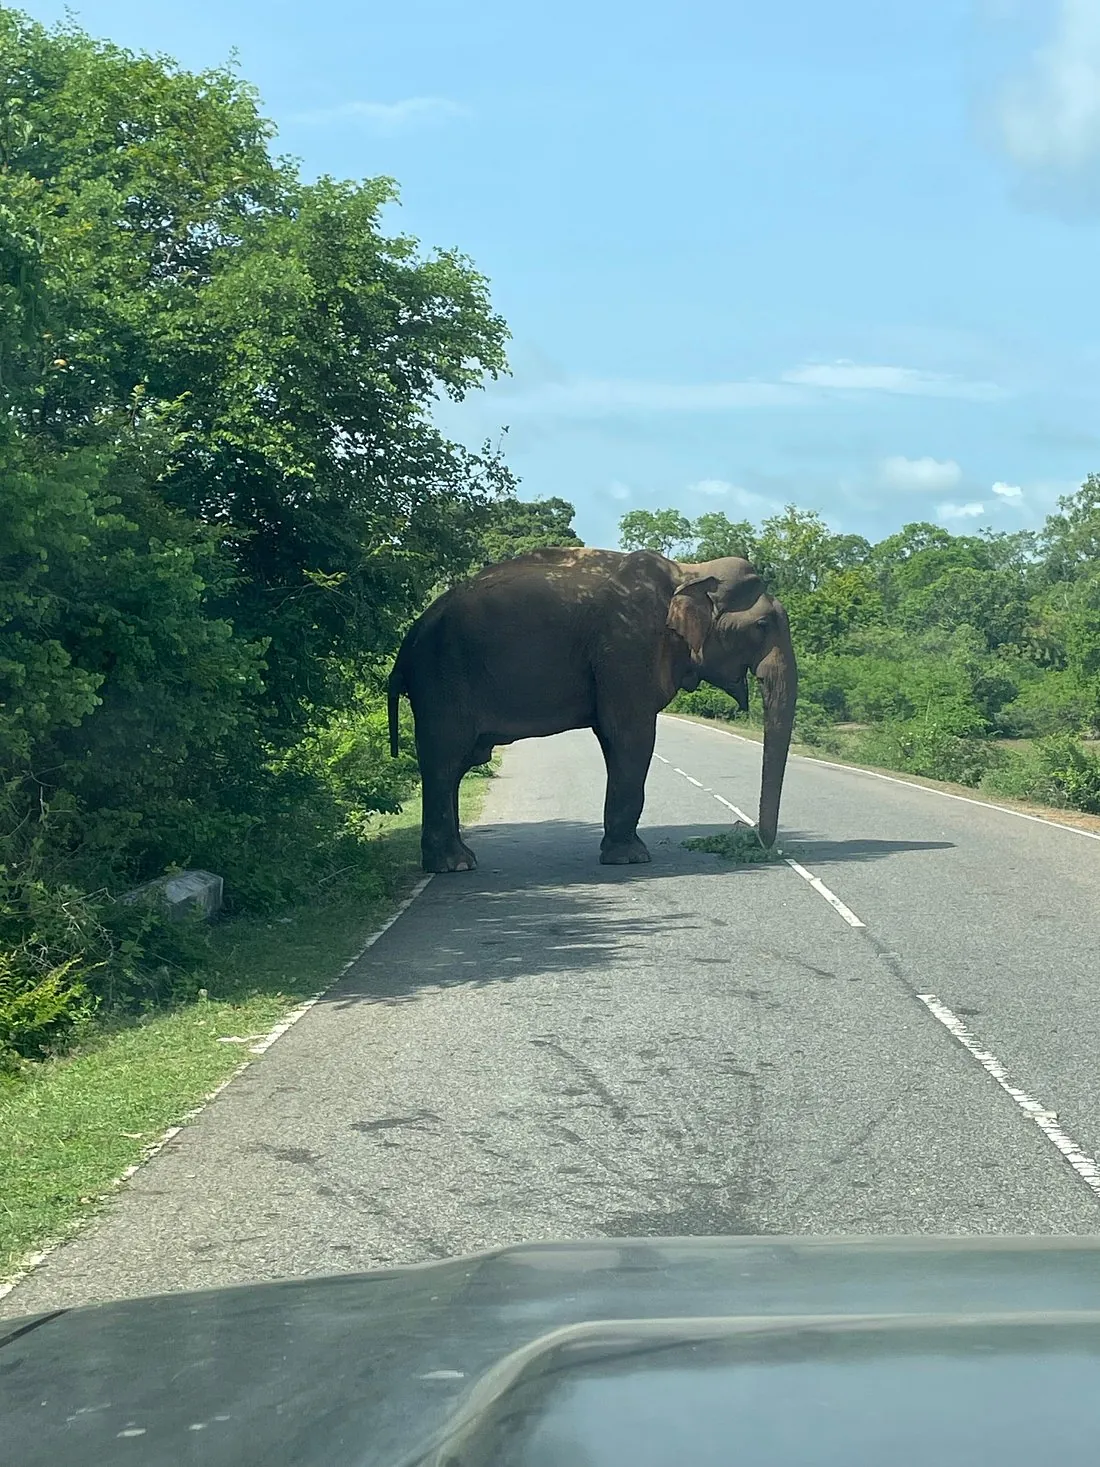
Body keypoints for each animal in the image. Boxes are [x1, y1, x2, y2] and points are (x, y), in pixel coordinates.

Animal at [387, 547, 797, 873]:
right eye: (762, 625)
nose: (750, 837)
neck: (690, 572)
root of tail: (409, 639)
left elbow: (615, 738)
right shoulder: (628, 646)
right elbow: (630, 736)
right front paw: (632, 859)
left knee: (454, 765)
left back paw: (459, 860)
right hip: (441, 678)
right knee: (444, 760)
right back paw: (453, 865)